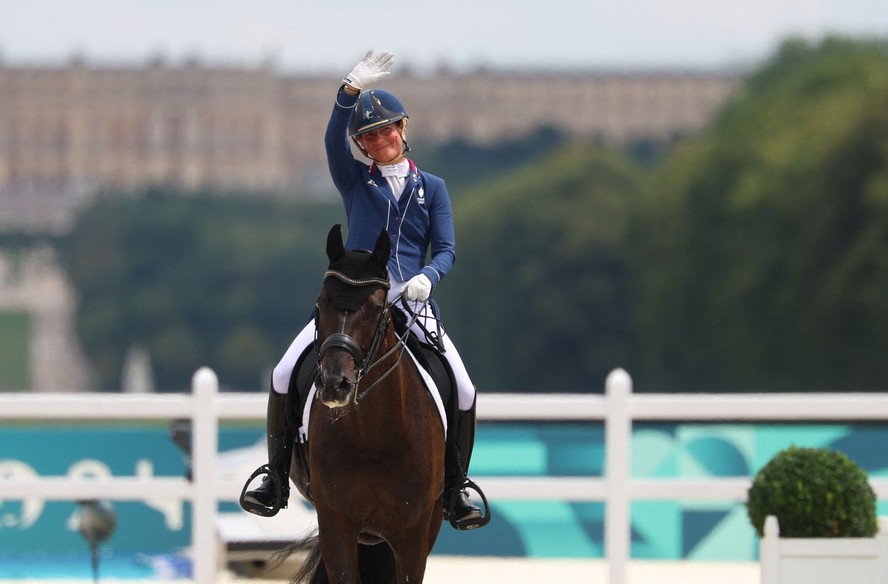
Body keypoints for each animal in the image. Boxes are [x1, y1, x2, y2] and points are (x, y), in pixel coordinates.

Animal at [288, 225, 448, 584]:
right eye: (321, 303)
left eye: (376, 308)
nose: (335, 383)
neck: (373, 436)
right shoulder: (336, 525)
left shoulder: (413, 534)